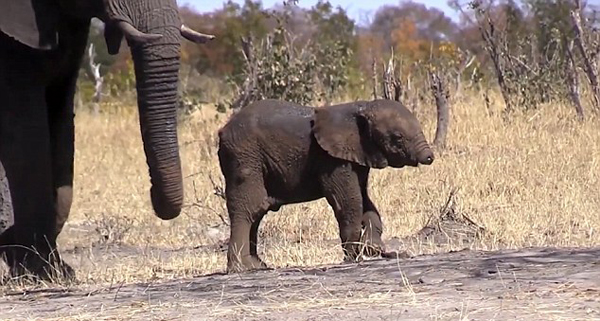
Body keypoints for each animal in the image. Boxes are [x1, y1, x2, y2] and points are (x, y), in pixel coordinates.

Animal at [218, 99, 434, 272]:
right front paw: (353, 257)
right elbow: (349, 201)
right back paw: (241, 269)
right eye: (398, 137)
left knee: (257, 212)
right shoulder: (331, 159)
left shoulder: (358, 155)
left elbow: (365, 200)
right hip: (244, 156)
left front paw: (372, 248)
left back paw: (257, 266)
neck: (359, 107)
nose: (429, 157)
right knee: (250, 207)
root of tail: (222, 131)